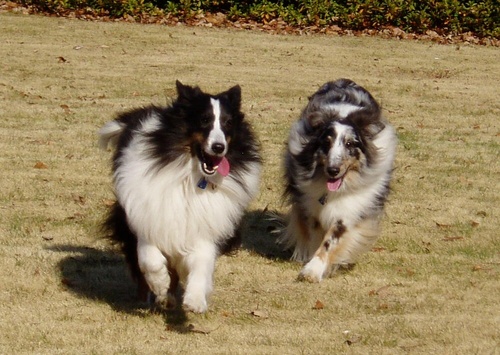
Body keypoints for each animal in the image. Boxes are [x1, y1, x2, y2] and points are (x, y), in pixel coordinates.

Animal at [98, 82, 262, 312]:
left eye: (228, 123)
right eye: (204, 120)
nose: (219, 147)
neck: (190, 176)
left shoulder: (203, 226)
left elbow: (202, 263)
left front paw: (195, 299)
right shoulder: (147, 214)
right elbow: (149, 259)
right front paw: (159, 284)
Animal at [282, 79, 394, 282]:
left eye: (350, 144)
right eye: (326, 143)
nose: (333, 170)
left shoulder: (350, 209)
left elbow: (331, 240)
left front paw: (313, 270)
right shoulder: (308, 204)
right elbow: (314, 233)